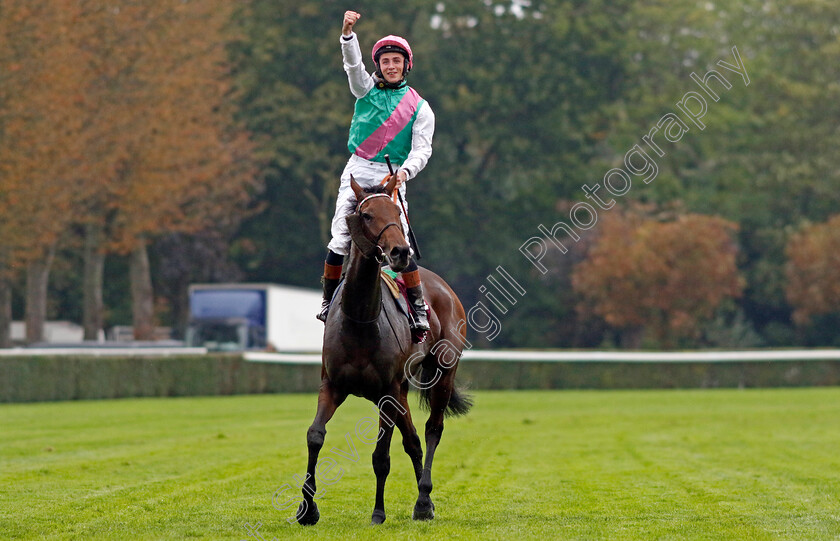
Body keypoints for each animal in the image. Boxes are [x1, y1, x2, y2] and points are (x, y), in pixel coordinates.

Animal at [298, 173, 472, 524]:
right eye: (366, 215)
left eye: (396, 212)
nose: (401, 252)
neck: (361, 320)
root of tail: (444, 288)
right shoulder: (333, 385)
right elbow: (315, 435)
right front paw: (307, 508)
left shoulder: (386, 394)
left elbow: (381, 455)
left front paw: (378, 511)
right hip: (403, 389)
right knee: (414, 440)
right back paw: (425, 502)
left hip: (443, 371)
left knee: (432, 429)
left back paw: (423, 500)